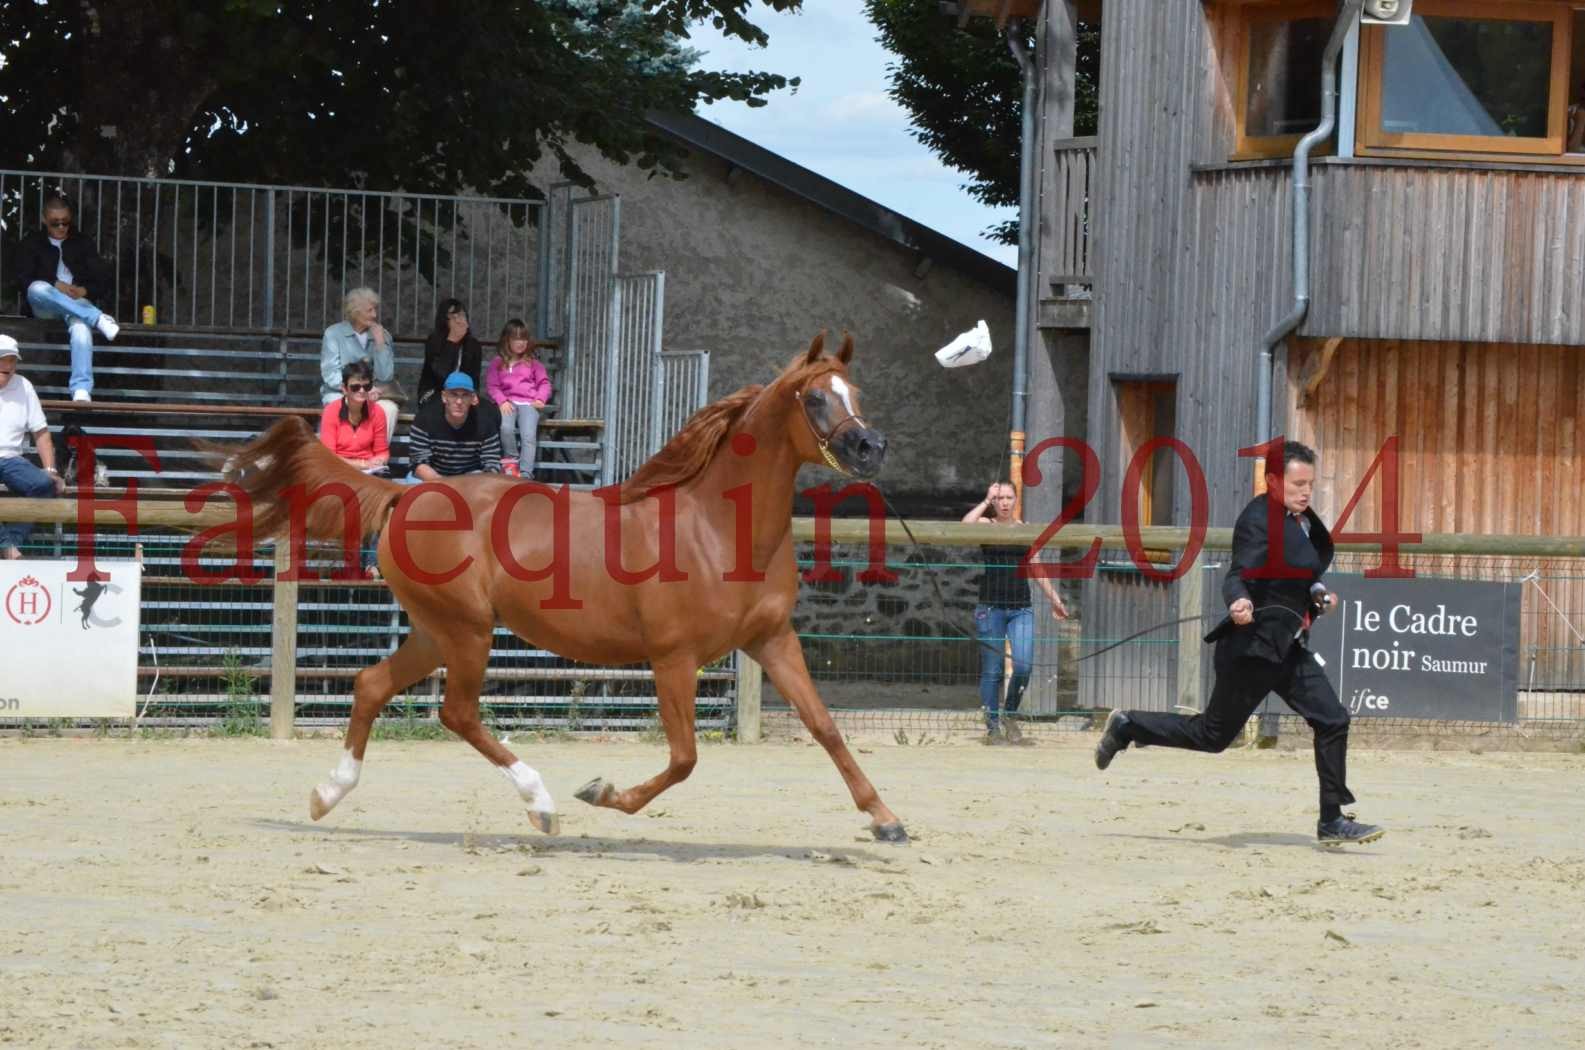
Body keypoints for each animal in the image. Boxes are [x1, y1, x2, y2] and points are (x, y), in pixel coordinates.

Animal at [229, 337, 912, 850]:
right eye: (816, 397)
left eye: (856, 394)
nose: (871, 446)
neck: (716, 527)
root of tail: (404, 494)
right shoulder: (674, 658)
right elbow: (685, 758)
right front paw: (602, 793)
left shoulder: (771, 640)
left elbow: (825, 727)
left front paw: (887, 821)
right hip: (467, 630)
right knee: (457, 713)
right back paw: (543, 804)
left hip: (435, 630)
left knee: (372, 685)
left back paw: (326, 796)